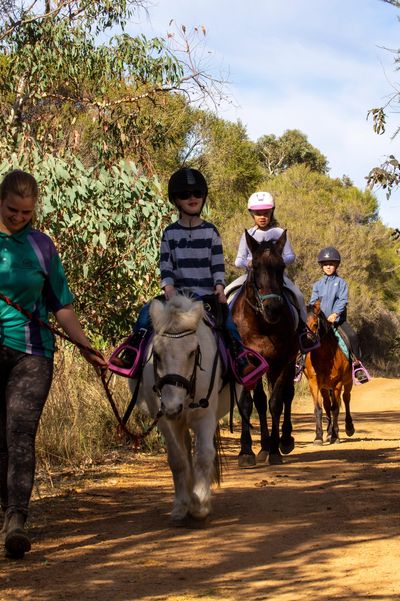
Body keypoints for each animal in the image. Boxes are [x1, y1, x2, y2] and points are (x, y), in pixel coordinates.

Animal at [131, 292, 238, 524]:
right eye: (157, 354)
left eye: (192, 353)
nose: (173, 407)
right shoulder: (164, 419)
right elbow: (178, 461)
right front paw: (181, 505)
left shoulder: (205, 417)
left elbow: (205, 455)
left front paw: (200, 504)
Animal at [231, 229, 296, 464]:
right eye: (255, 266)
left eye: (282, 266)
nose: (273, 308)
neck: (262, 324)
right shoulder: (247, 362)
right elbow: (249, 403)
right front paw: (246, 451)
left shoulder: (283, 361)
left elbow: (276, 402)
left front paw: (275, 451)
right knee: (259, 401)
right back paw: (264, 447)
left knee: (287, 395)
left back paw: (284, 441)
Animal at [304, 302, 354, 442]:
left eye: (315, 324)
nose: (307, 343)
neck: (324, 356)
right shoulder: (314, 383)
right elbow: (318, 409)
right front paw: (318, 437)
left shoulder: (337, 383)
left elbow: (335, 408)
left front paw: (336, 436)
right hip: (325, 387)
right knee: (327, 404)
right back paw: (328, 432)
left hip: (348, 382)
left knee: (346, 398)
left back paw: (348, 428)